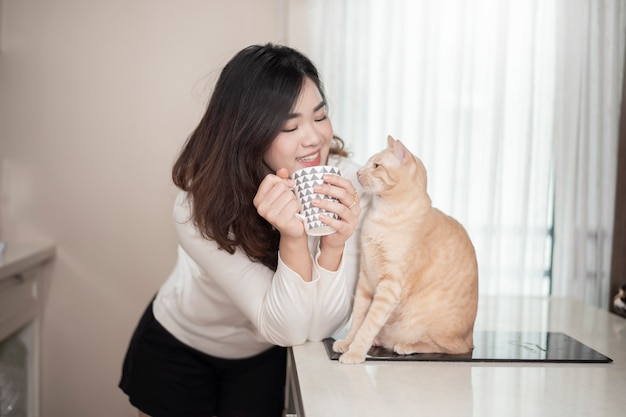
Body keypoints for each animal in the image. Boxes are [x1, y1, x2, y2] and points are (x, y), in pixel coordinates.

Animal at [334, 135, 476, 362]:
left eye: (376, 165)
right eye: (367, 162)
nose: (358, 173)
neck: (380, 215)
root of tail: (471, 337)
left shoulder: (390, 286)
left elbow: (368, 324)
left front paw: (355, 352)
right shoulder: (365, 279)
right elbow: (358, 319)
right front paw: (348, 343)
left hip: (435, 330)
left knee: (450, 348)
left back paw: (406, 345)